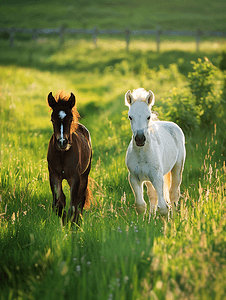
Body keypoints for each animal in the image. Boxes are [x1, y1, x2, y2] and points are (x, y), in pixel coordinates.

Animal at [46, 91, 92, 225]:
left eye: (70, 119)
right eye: (52, 119)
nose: (62, 142)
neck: (63, 154)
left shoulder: (75, 177)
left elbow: (73, 206)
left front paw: (72, 225)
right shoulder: (54, 176)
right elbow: (58, 203)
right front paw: (65, 221)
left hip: (84, 175)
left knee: (81, 200)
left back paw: (78, 223)